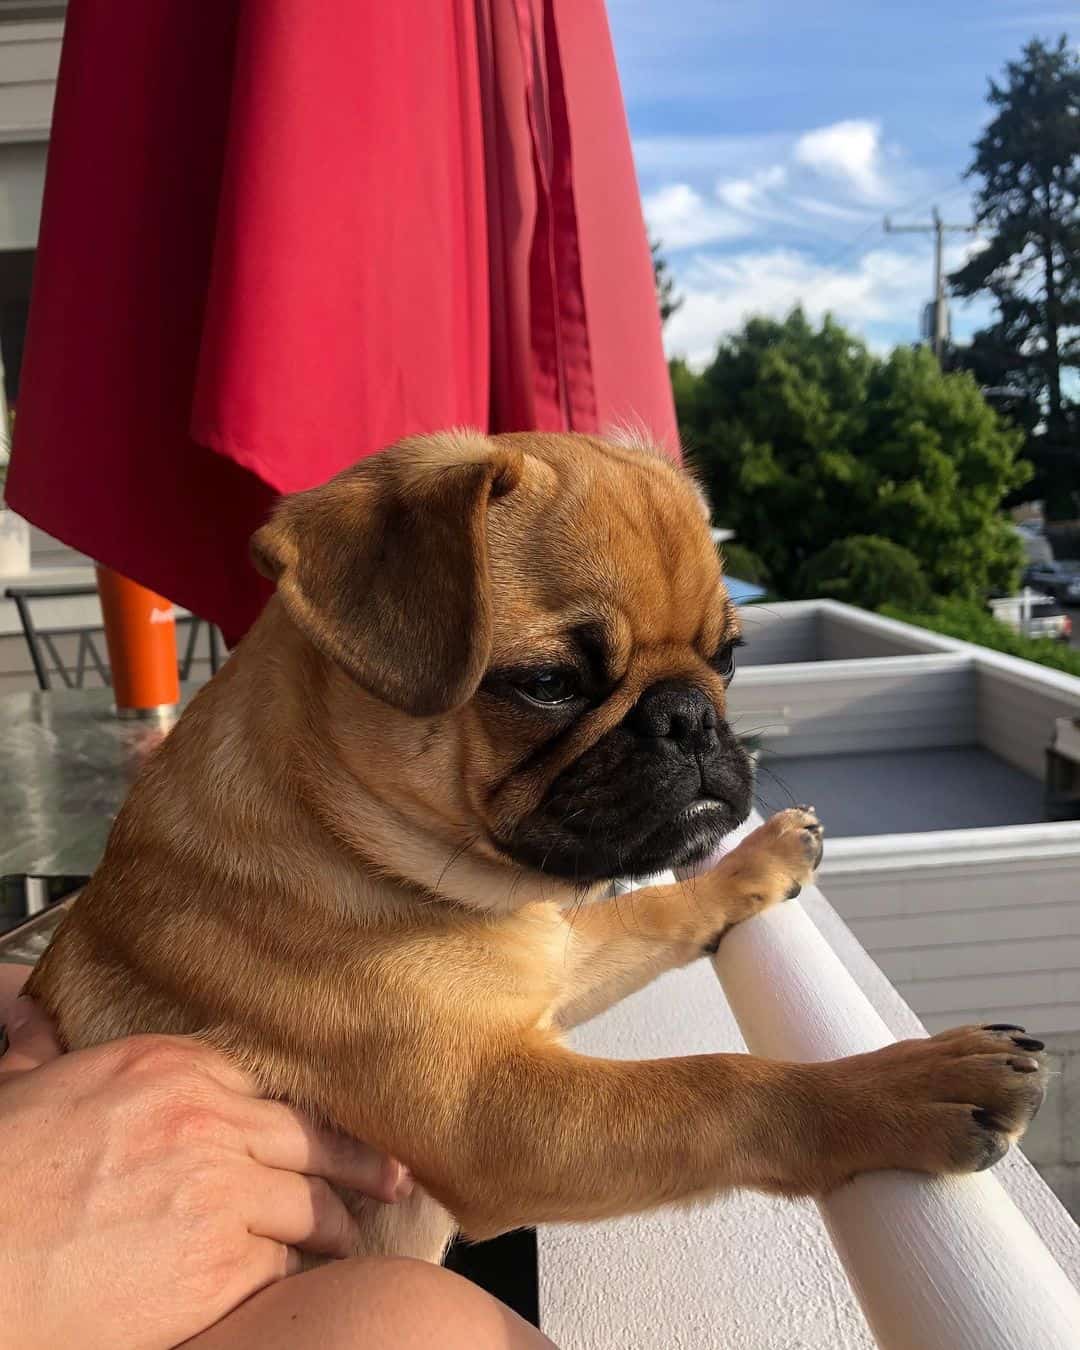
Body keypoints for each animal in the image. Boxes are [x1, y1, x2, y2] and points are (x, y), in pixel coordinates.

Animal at [29, 434, 1047, 1263]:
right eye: (549, 684)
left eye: (728, 657)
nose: (690, 716)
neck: (353, 838)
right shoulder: (492, 1108)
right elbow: (719, 1086)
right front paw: (902, 1086)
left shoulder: (558, 959)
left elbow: (661, 906)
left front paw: (758, 860)